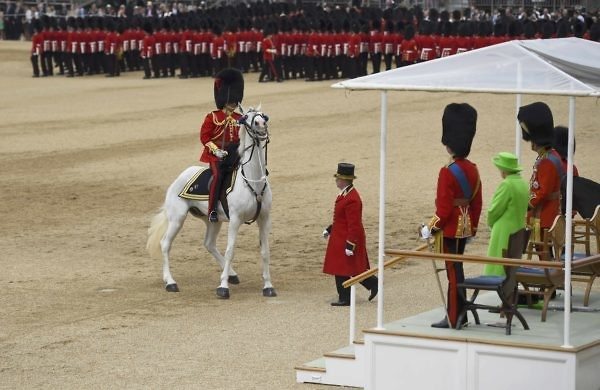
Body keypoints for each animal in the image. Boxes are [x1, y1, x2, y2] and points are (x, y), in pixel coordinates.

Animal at [146, 104, 276, 298]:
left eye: (263, 116)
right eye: (247, 117)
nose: (261, 125)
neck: (253, 182)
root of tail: (181, 176)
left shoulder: (264, 218)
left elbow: (265, 251)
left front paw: (268, 286)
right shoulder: (235, 220)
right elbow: (230, 251)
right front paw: (222, 287)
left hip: (212, 220)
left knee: (209, 244)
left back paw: (232, 274)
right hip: (177, 219)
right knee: (165, 244)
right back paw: (170, 282)